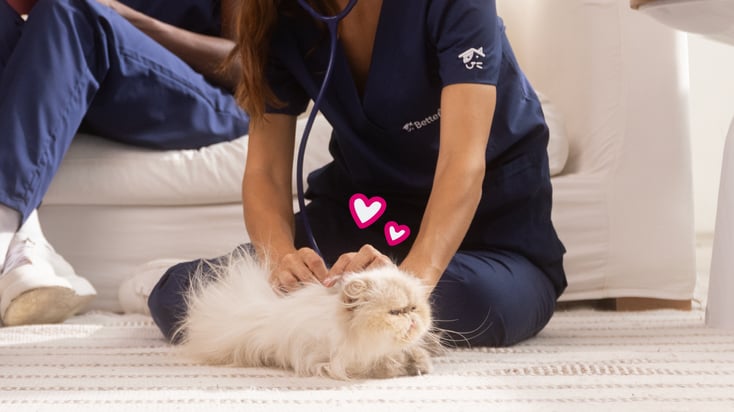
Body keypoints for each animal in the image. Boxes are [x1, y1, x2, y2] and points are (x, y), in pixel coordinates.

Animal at [174, 253, 436, 382]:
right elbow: (381, 365)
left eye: (414, 308)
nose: (412, 318)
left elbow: (411, 353)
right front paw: (403, 367)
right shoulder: (336, 361)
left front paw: (419, 363)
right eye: (395, 312)